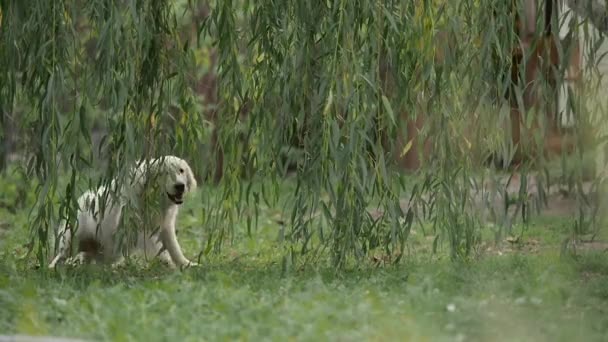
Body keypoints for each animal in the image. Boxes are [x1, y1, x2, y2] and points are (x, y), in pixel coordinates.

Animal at [49, 156, 200, 270]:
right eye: (164, 173)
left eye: (181, 170)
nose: (180, 186)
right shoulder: (137, 227)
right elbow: (157, 247)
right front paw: (168, 263)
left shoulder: (165, 225)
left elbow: (174, 247)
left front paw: (187, 264)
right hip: (73, 234)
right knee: (63, 254)